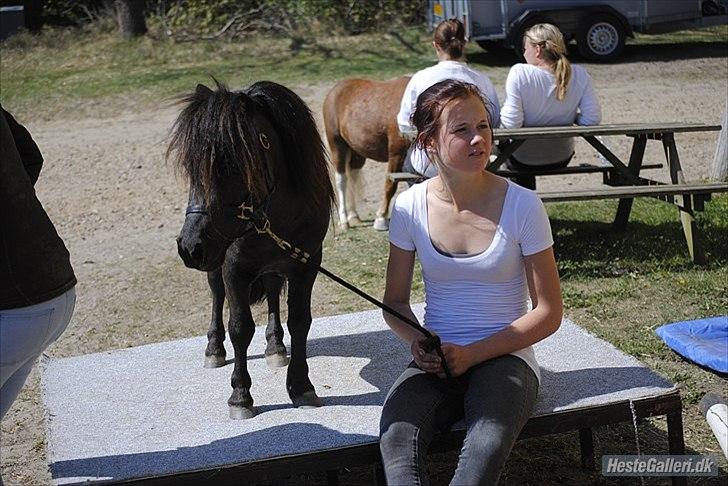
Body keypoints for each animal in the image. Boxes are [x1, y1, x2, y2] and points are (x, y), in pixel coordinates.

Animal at [169, 79, 334, 418]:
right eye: (191, 167)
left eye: (229, 165)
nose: (190, 247)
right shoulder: (233, 268)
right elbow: (240, 327)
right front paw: (240, 395)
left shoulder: (307, 264)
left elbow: (300, 321)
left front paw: (301, 385)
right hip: (216, 262)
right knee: (217, 296)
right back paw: (214, 349)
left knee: (271, 290)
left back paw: (275, 346)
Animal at [322, 76, 410, 232]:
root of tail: (334, 92)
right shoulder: (397, 153)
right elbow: (390, 185)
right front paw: (381, 219)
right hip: (337, 146)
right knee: (341, 180)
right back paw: (344, 220)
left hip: (357, 152)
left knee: (353, 176)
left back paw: (353, 215)